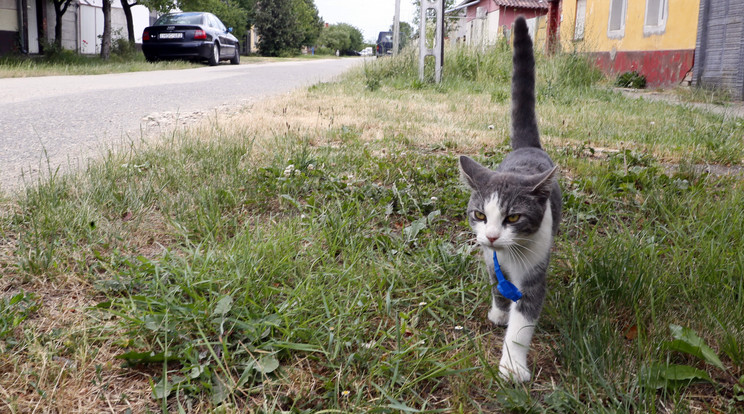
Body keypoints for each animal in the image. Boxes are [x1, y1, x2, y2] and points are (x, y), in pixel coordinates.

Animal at [456, 17, 560, 384]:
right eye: (479, 215)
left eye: (513, 218)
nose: (490, 236)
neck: (510, 258)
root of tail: (527, 146)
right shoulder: (491, 260)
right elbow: (497, 287)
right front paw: (500, 313)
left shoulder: (534, 273)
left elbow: (523, 322)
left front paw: (513, 367)